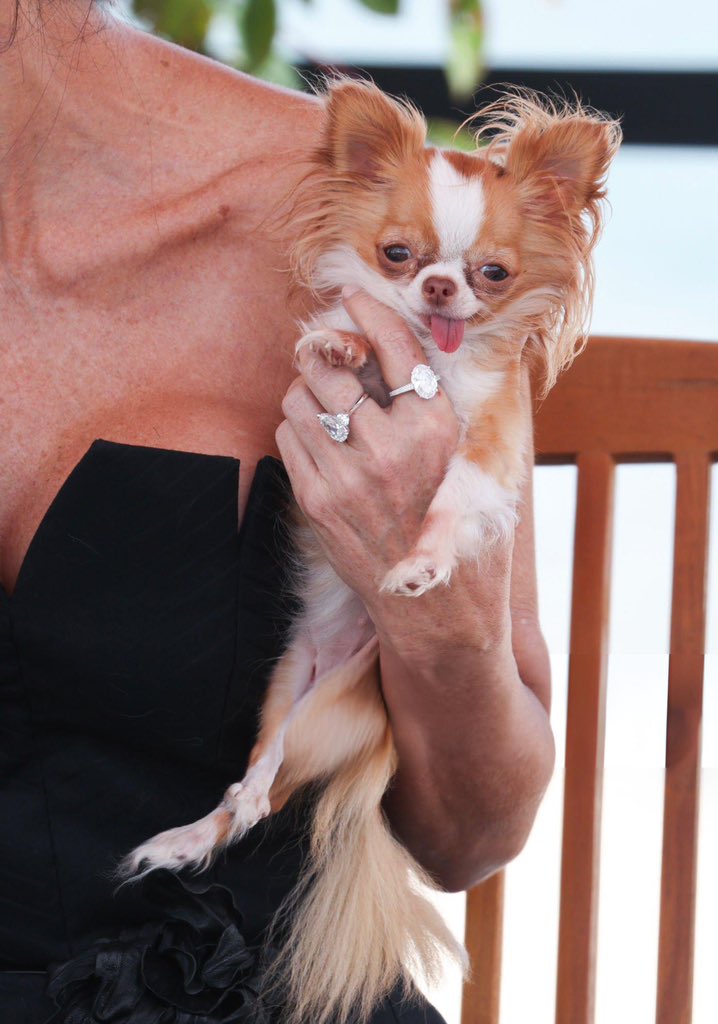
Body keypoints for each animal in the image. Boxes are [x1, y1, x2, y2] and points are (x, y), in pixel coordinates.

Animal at [124, 79, 622, 1024]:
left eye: (493, 273)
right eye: (398, 254)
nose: (439, 285)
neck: (430, 356)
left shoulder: (491, 451)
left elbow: (452, 496)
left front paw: (419, 565)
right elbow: (343, 346)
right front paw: (342, 342)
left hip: (333, 711)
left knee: (273, 789)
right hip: (290, 691)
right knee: (257, 777)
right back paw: (188, 836)